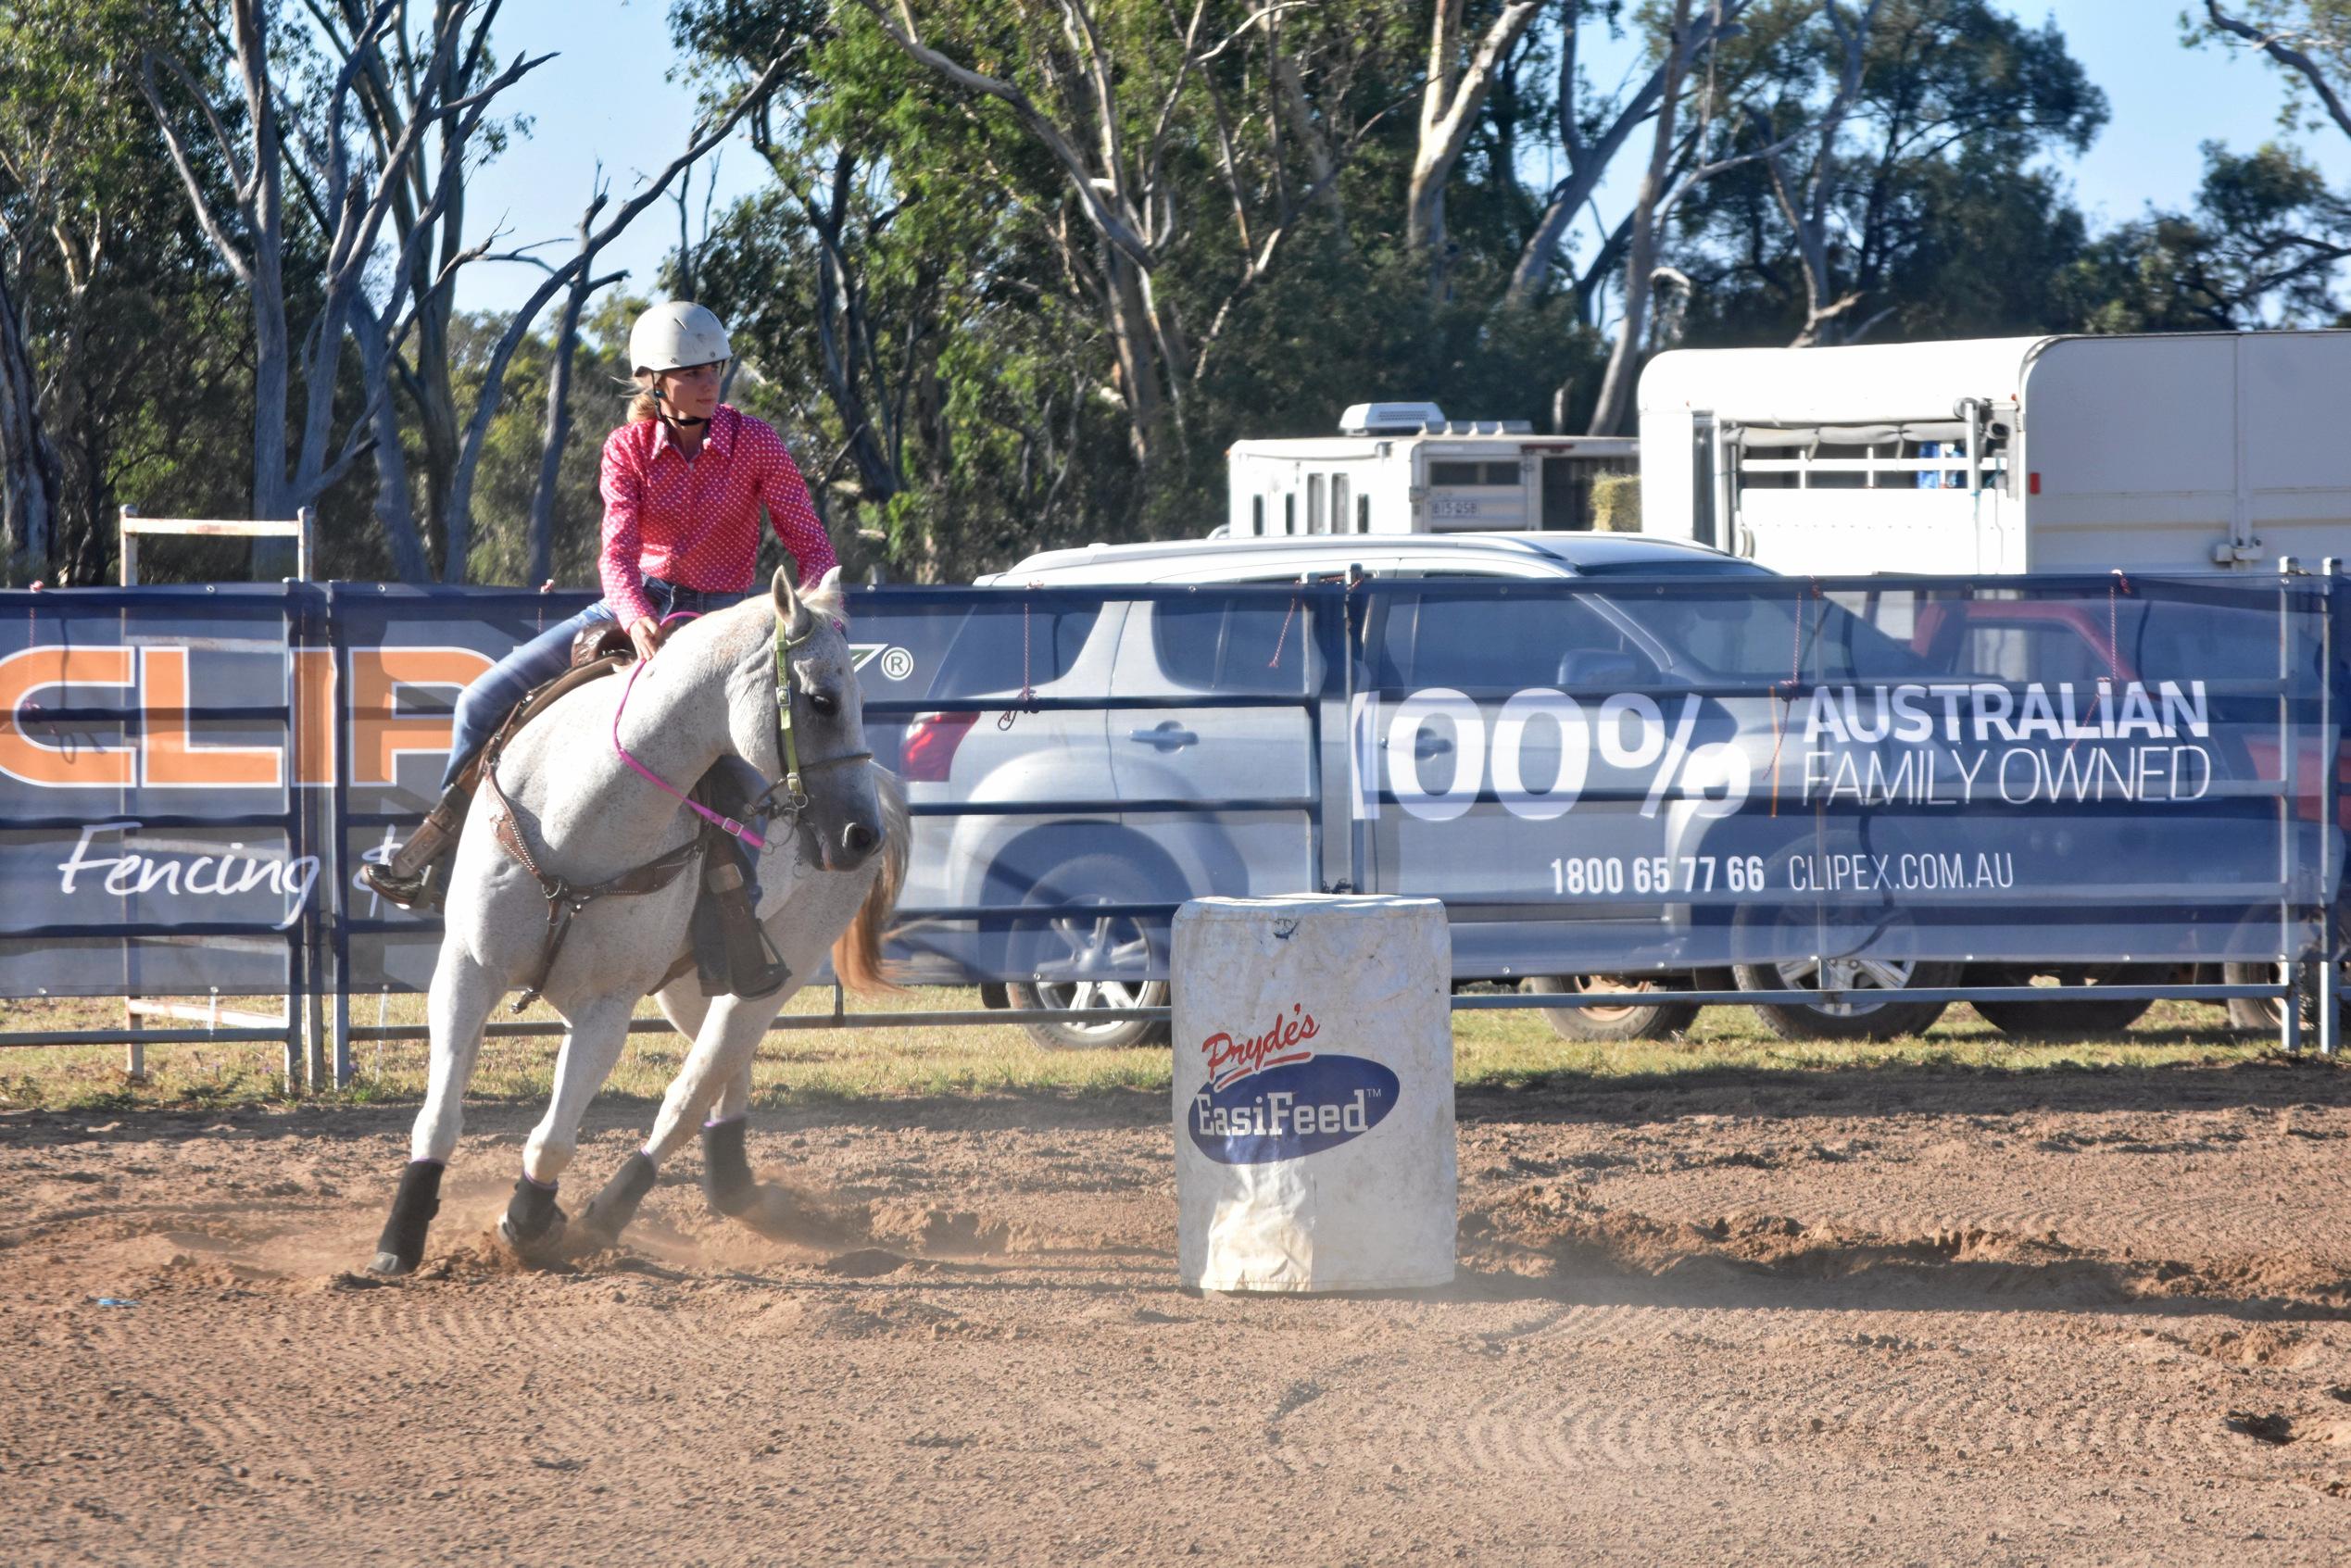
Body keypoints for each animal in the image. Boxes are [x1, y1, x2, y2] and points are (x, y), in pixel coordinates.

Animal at [361, 571, 902, 1278]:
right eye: (822, 700)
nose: (859, 835)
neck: (578, 818)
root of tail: (886, 792)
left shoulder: (606, 1008)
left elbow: (554, 1139)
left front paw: (529, 1222)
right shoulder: (467, 969)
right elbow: (438, 1117)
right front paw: (397, 1240)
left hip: (774, 973)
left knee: (693, 1090)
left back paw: (608, 1214)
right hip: (693, 983)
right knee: (729, 1076)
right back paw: (733, 1185)